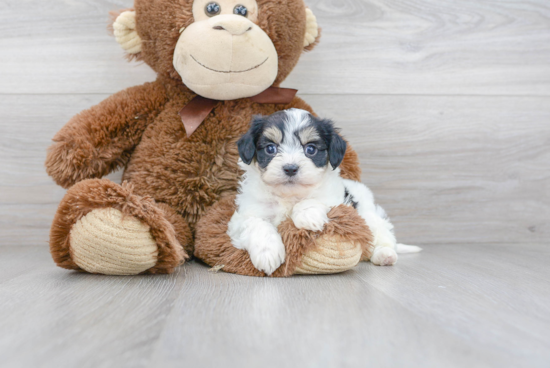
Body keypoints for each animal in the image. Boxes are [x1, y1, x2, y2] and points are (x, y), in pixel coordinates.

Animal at [229, 109, 422, 276]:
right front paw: (267, 253)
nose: (290, 168)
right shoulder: (245, 214)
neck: (289, 195)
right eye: (270, 148)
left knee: (383, 236)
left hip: (368, 216)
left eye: (311, 149)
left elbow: (315, 200)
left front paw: (308, 216)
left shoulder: (336, 200)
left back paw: (384, 255)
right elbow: (256, 224)